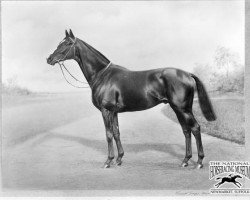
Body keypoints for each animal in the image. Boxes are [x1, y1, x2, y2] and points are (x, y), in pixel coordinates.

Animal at [47, 29, 217, 170]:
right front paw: (119, 159)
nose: (49, 59)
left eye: (67, 43)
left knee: (195, 128)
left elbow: (108, 134)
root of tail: (187, 74)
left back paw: (199, 162)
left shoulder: (105, 111)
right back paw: (185, 160)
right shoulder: (114, 112)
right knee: (186, 131)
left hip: (183, 109)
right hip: (178, 109)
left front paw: (108, 161)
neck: (102, 75)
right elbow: (116, 133)